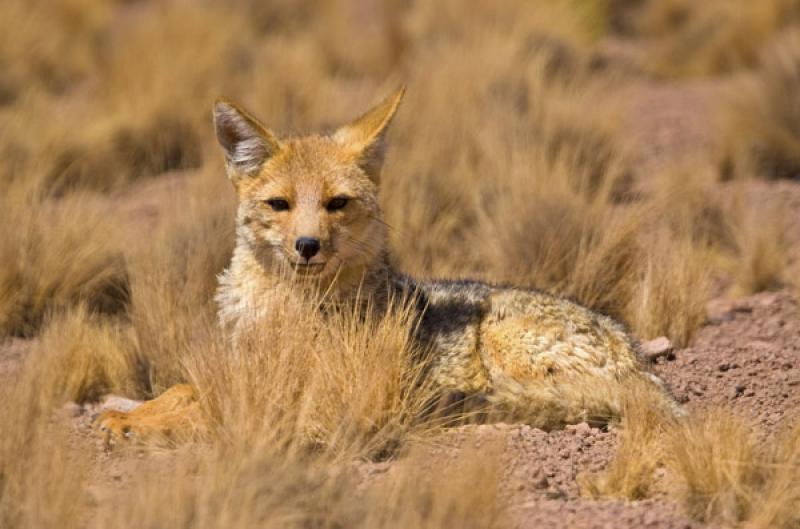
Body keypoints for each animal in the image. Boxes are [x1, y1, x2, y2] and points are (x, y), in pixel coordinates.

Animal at [97, 88, 680, 444]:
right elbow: (184, 389)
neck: (281, 308)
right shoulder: (247, 367)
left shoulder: (309, 389)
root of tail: (637, 355)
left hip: (502, 339)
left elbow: (209, 408)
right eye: (280, 205)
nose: (307, 246)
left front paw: (141, 428)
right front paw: (131, 413)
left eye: (337, 203)